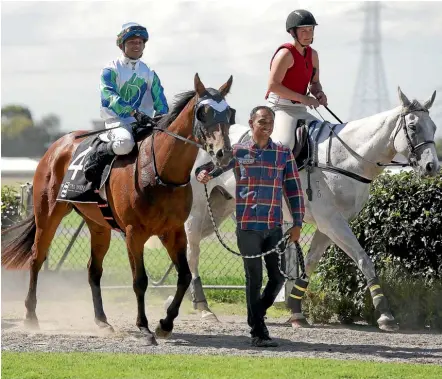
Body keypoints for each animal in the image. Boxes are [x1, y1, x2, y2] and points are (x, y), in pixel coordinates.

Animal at [2, 74, 235, 348]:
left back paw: (102, 321)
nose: (223, 153)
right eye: (204, 112)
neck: (159, 172)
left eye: (229, 113)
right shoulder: (135, 233)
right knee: (36, 259)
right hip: (48, 214)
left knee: (93, 269)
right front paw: (144, 327)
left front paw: (165, 324)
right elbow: (140, 280)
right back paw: (31, 316)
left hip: (98, 226)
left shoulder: (174, 231)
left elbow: (185, 276)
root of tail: (57, 145)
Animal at [184, 87, 438, 332]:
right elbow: (364, 259)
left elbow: (310, 262)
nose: (432, 166)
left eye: (434, 127)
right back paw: (203, 306)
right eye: (413, 126)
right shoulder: (332, 222)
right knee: (193, 249)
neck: (347, 158)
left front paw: (296, 310)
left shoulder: (329, 225)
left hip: (219, 207)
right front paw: (385, 314)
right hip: (198, 210)